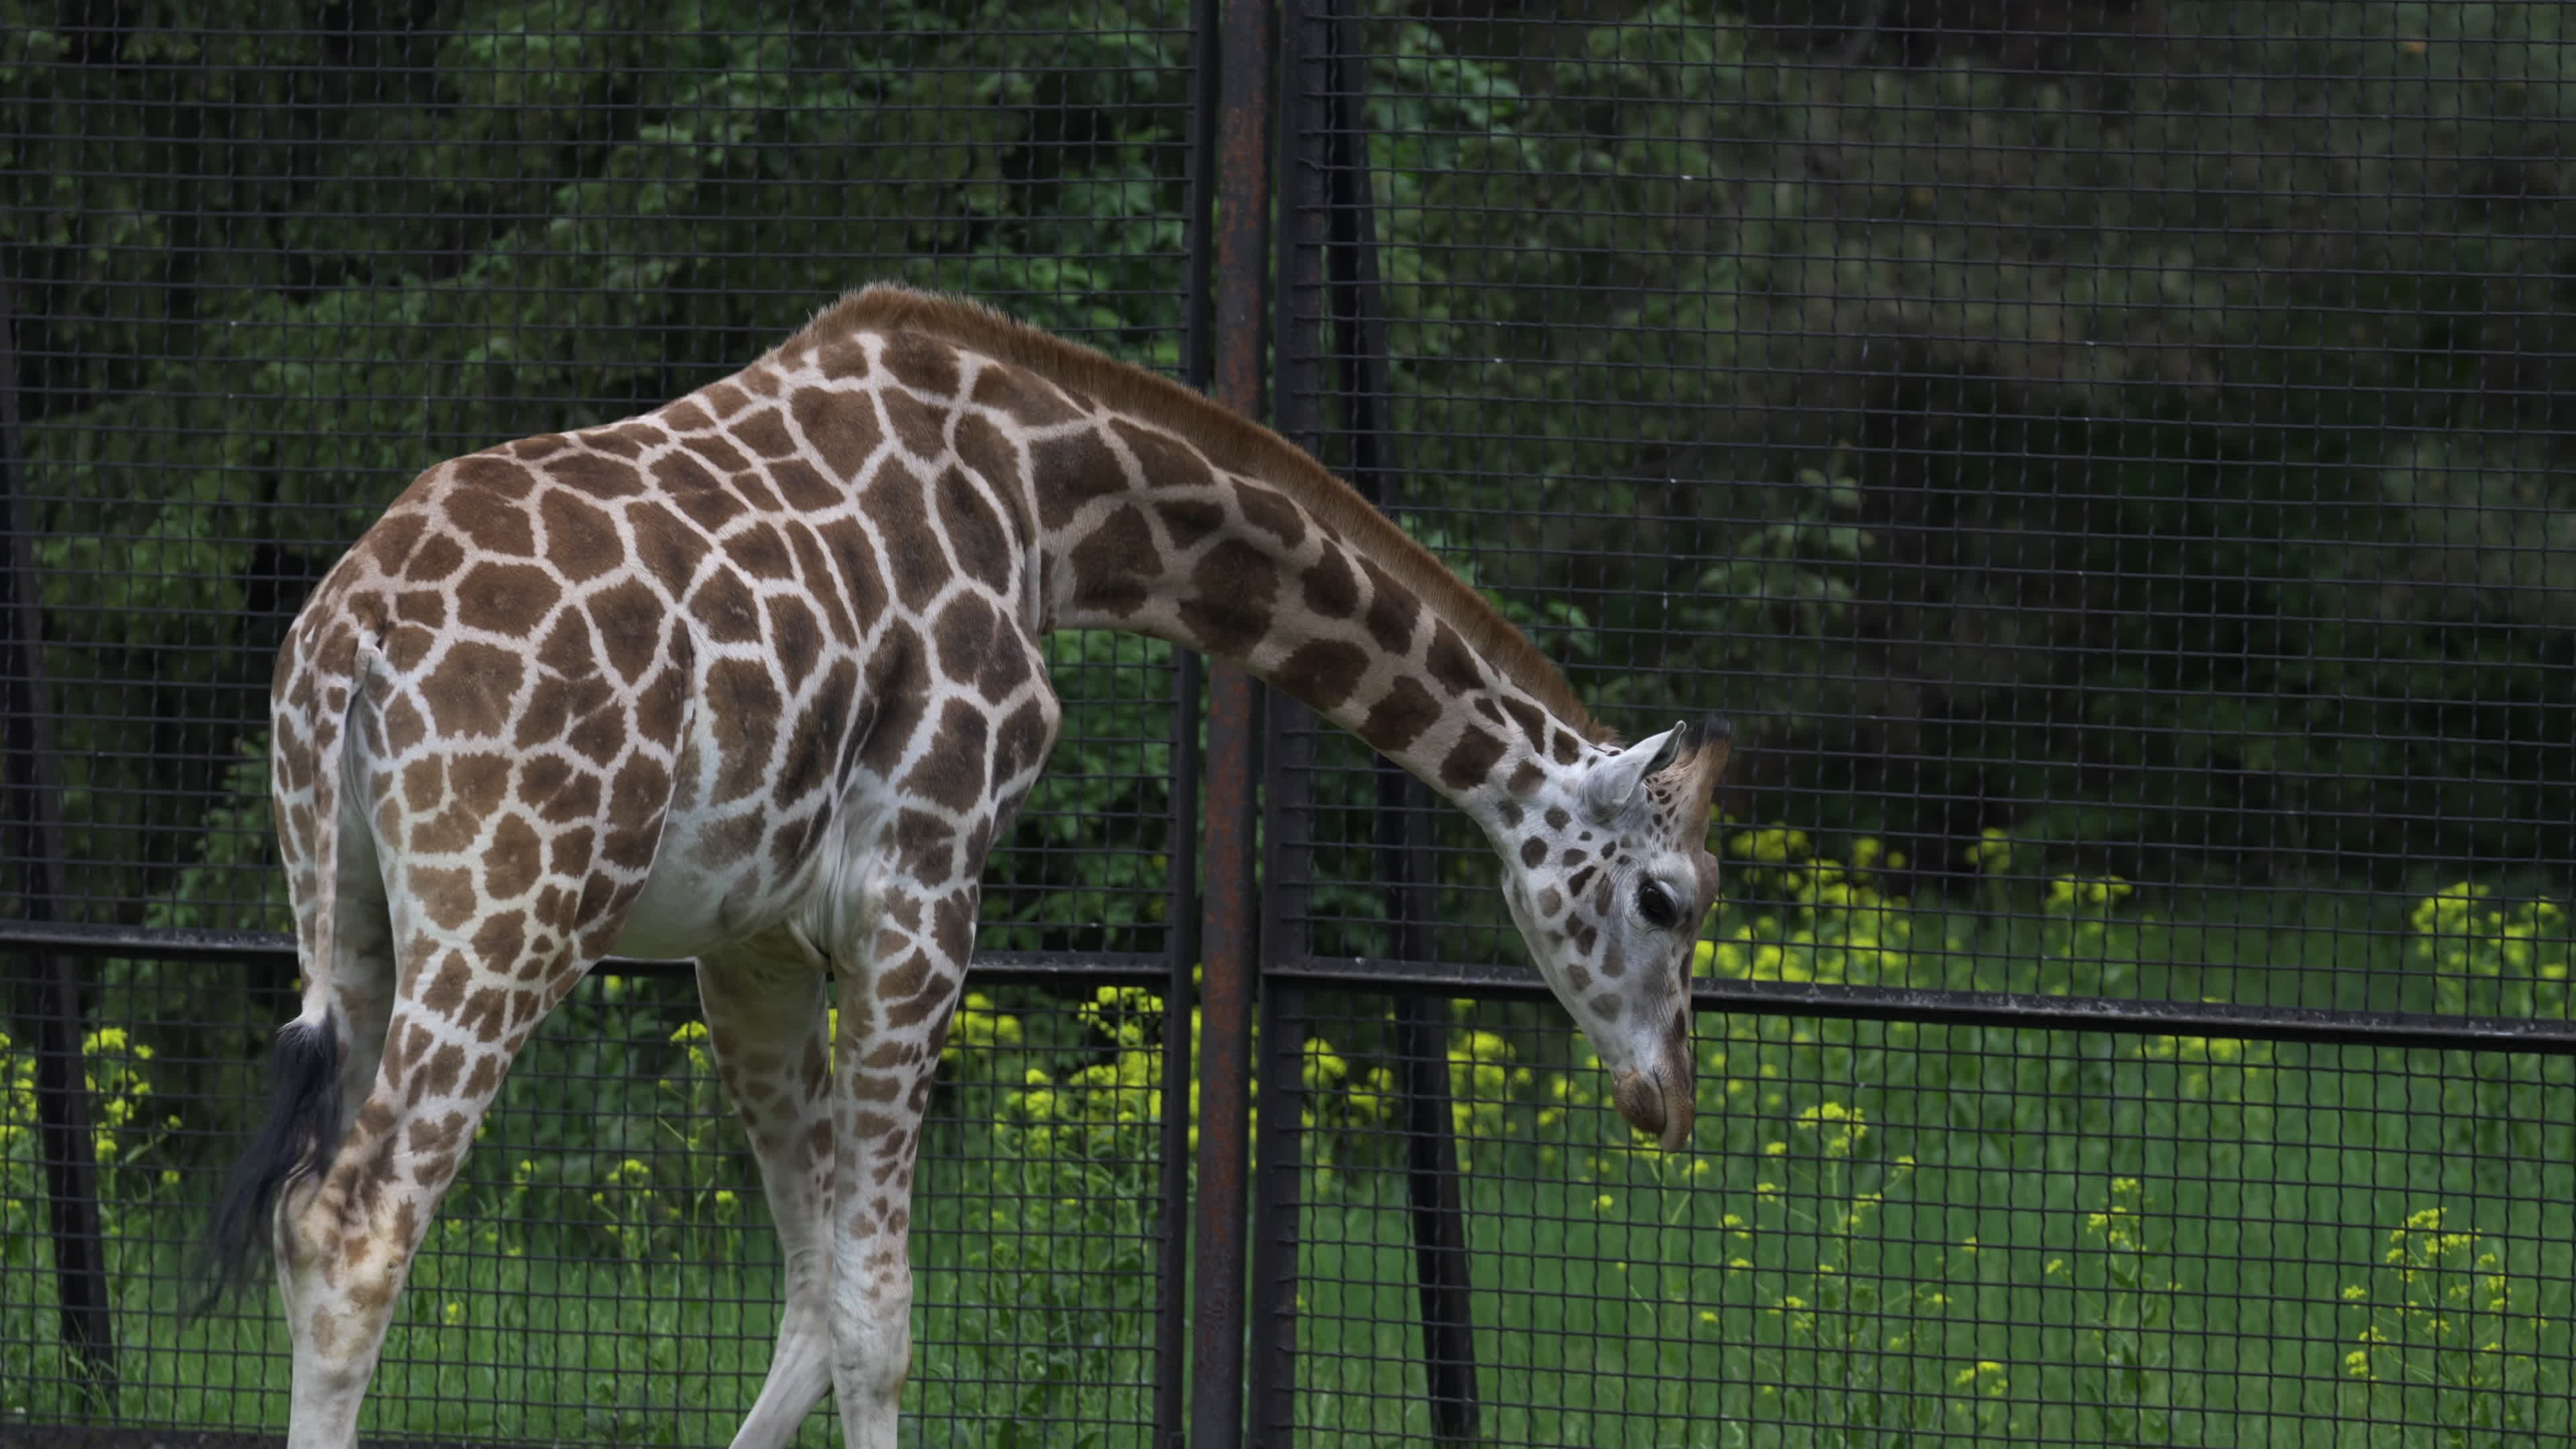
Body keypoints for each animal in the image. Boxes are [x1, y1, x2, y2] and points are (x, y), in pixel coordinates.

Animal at [198, 284, 1731, 1448]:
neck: (1050, 501)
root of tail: (354, 640)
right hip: (513, 904)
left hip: (347, 913)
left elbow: (811, 1296)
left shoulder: (748, 943)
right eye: (1669, 901)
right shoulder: (924, 885)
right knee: (353, 1228)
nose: (1664, 1101)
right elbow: (881, 1314)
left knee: (297, 1210)